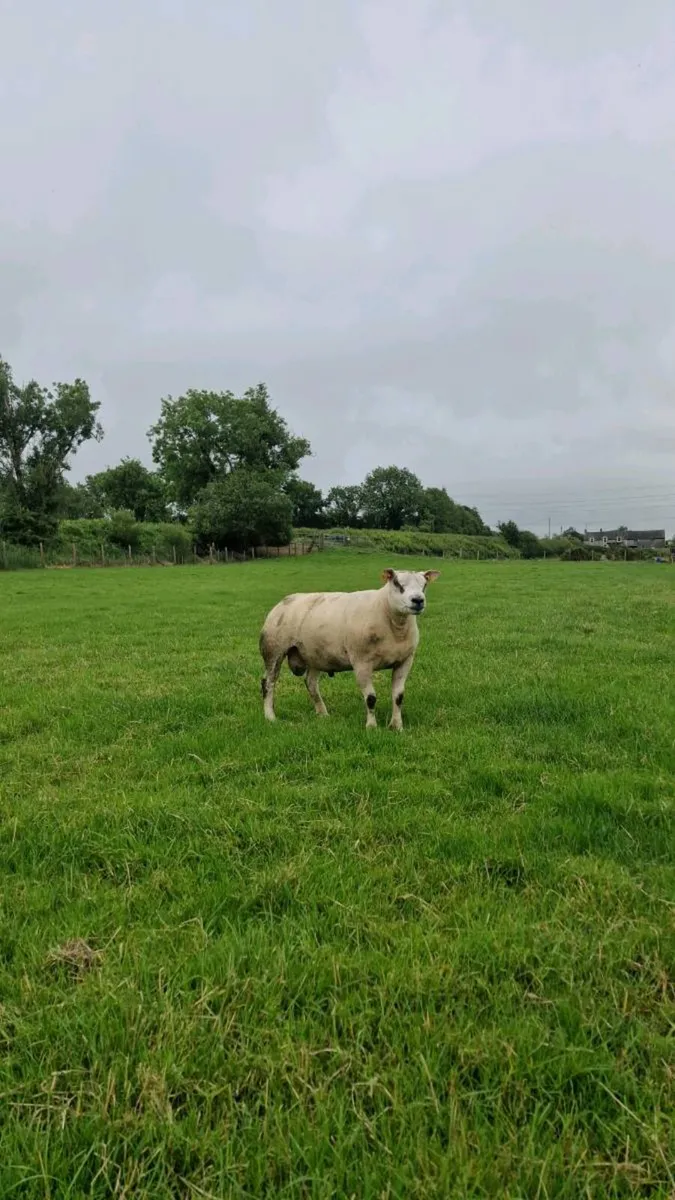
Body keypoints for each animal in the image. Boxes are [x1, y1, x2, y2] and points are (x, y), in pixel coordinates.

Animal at [259, 567, 440, 730]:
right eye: (397, 583)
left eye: (424, 585)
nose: (418, 600)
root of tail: (285, 601)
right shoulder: (361, 662)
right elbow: (370, 698)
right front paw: (371, 727)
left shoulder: (405, 661)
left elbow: (398, 697)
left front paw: (396, 726)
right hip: (273, 650)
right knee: (268, 683)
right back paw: (270, 717)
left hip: (315, 654)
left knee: (310, 683)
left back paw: (322, 714)